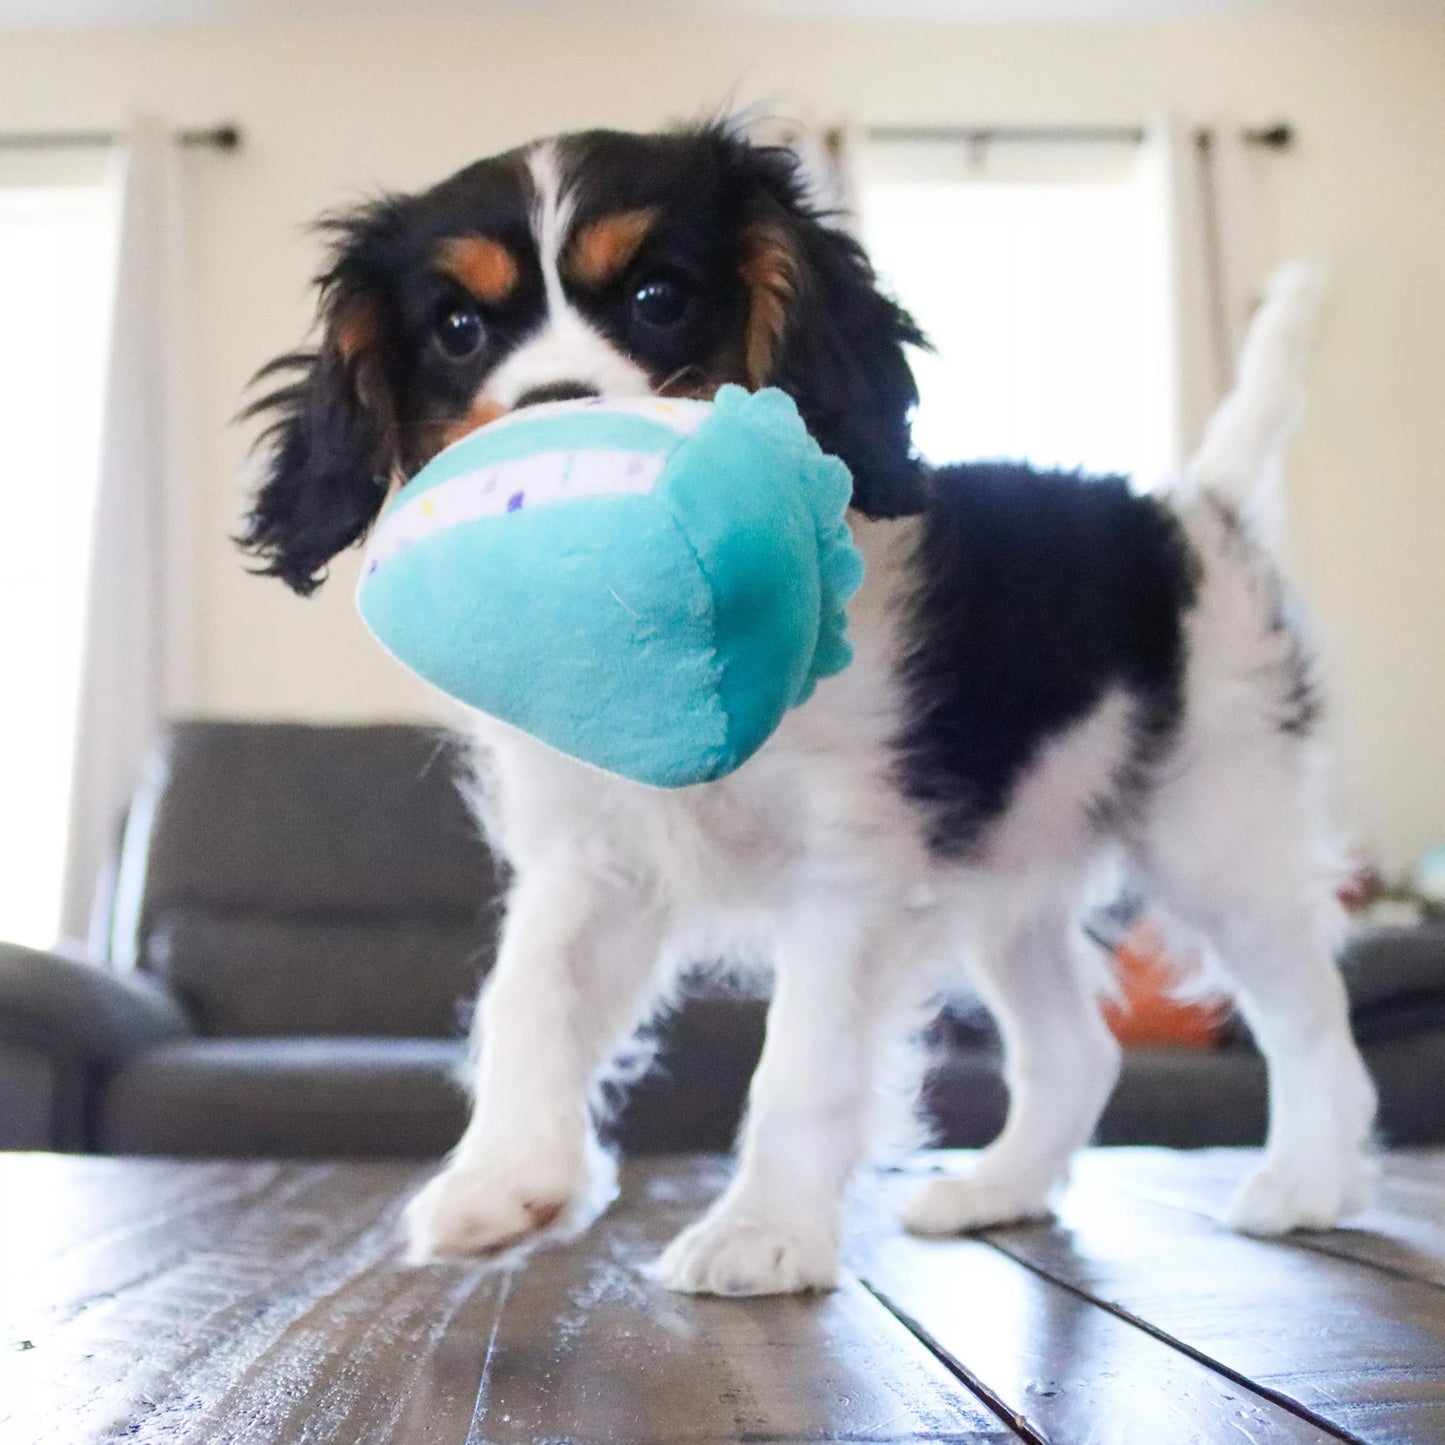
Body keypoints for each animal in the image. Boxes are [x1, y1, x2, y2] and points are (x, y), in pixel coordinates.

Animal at [242, 127, 1369, 1300]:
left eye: (657, 297)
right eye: (457, 329)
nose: (551, 407)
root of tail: (1198, 514)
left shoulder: (849, 873)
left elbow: (802, 1064)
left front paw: (762, 1231)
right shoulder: (592, 864)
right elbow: (530, 999)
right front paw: (507, 1180)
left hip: (1215, 829)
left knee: (1306, 1011)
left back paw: (1308, 1180)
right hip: (1010, 869)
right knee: (1076, 1047)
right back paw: (996, 1190)